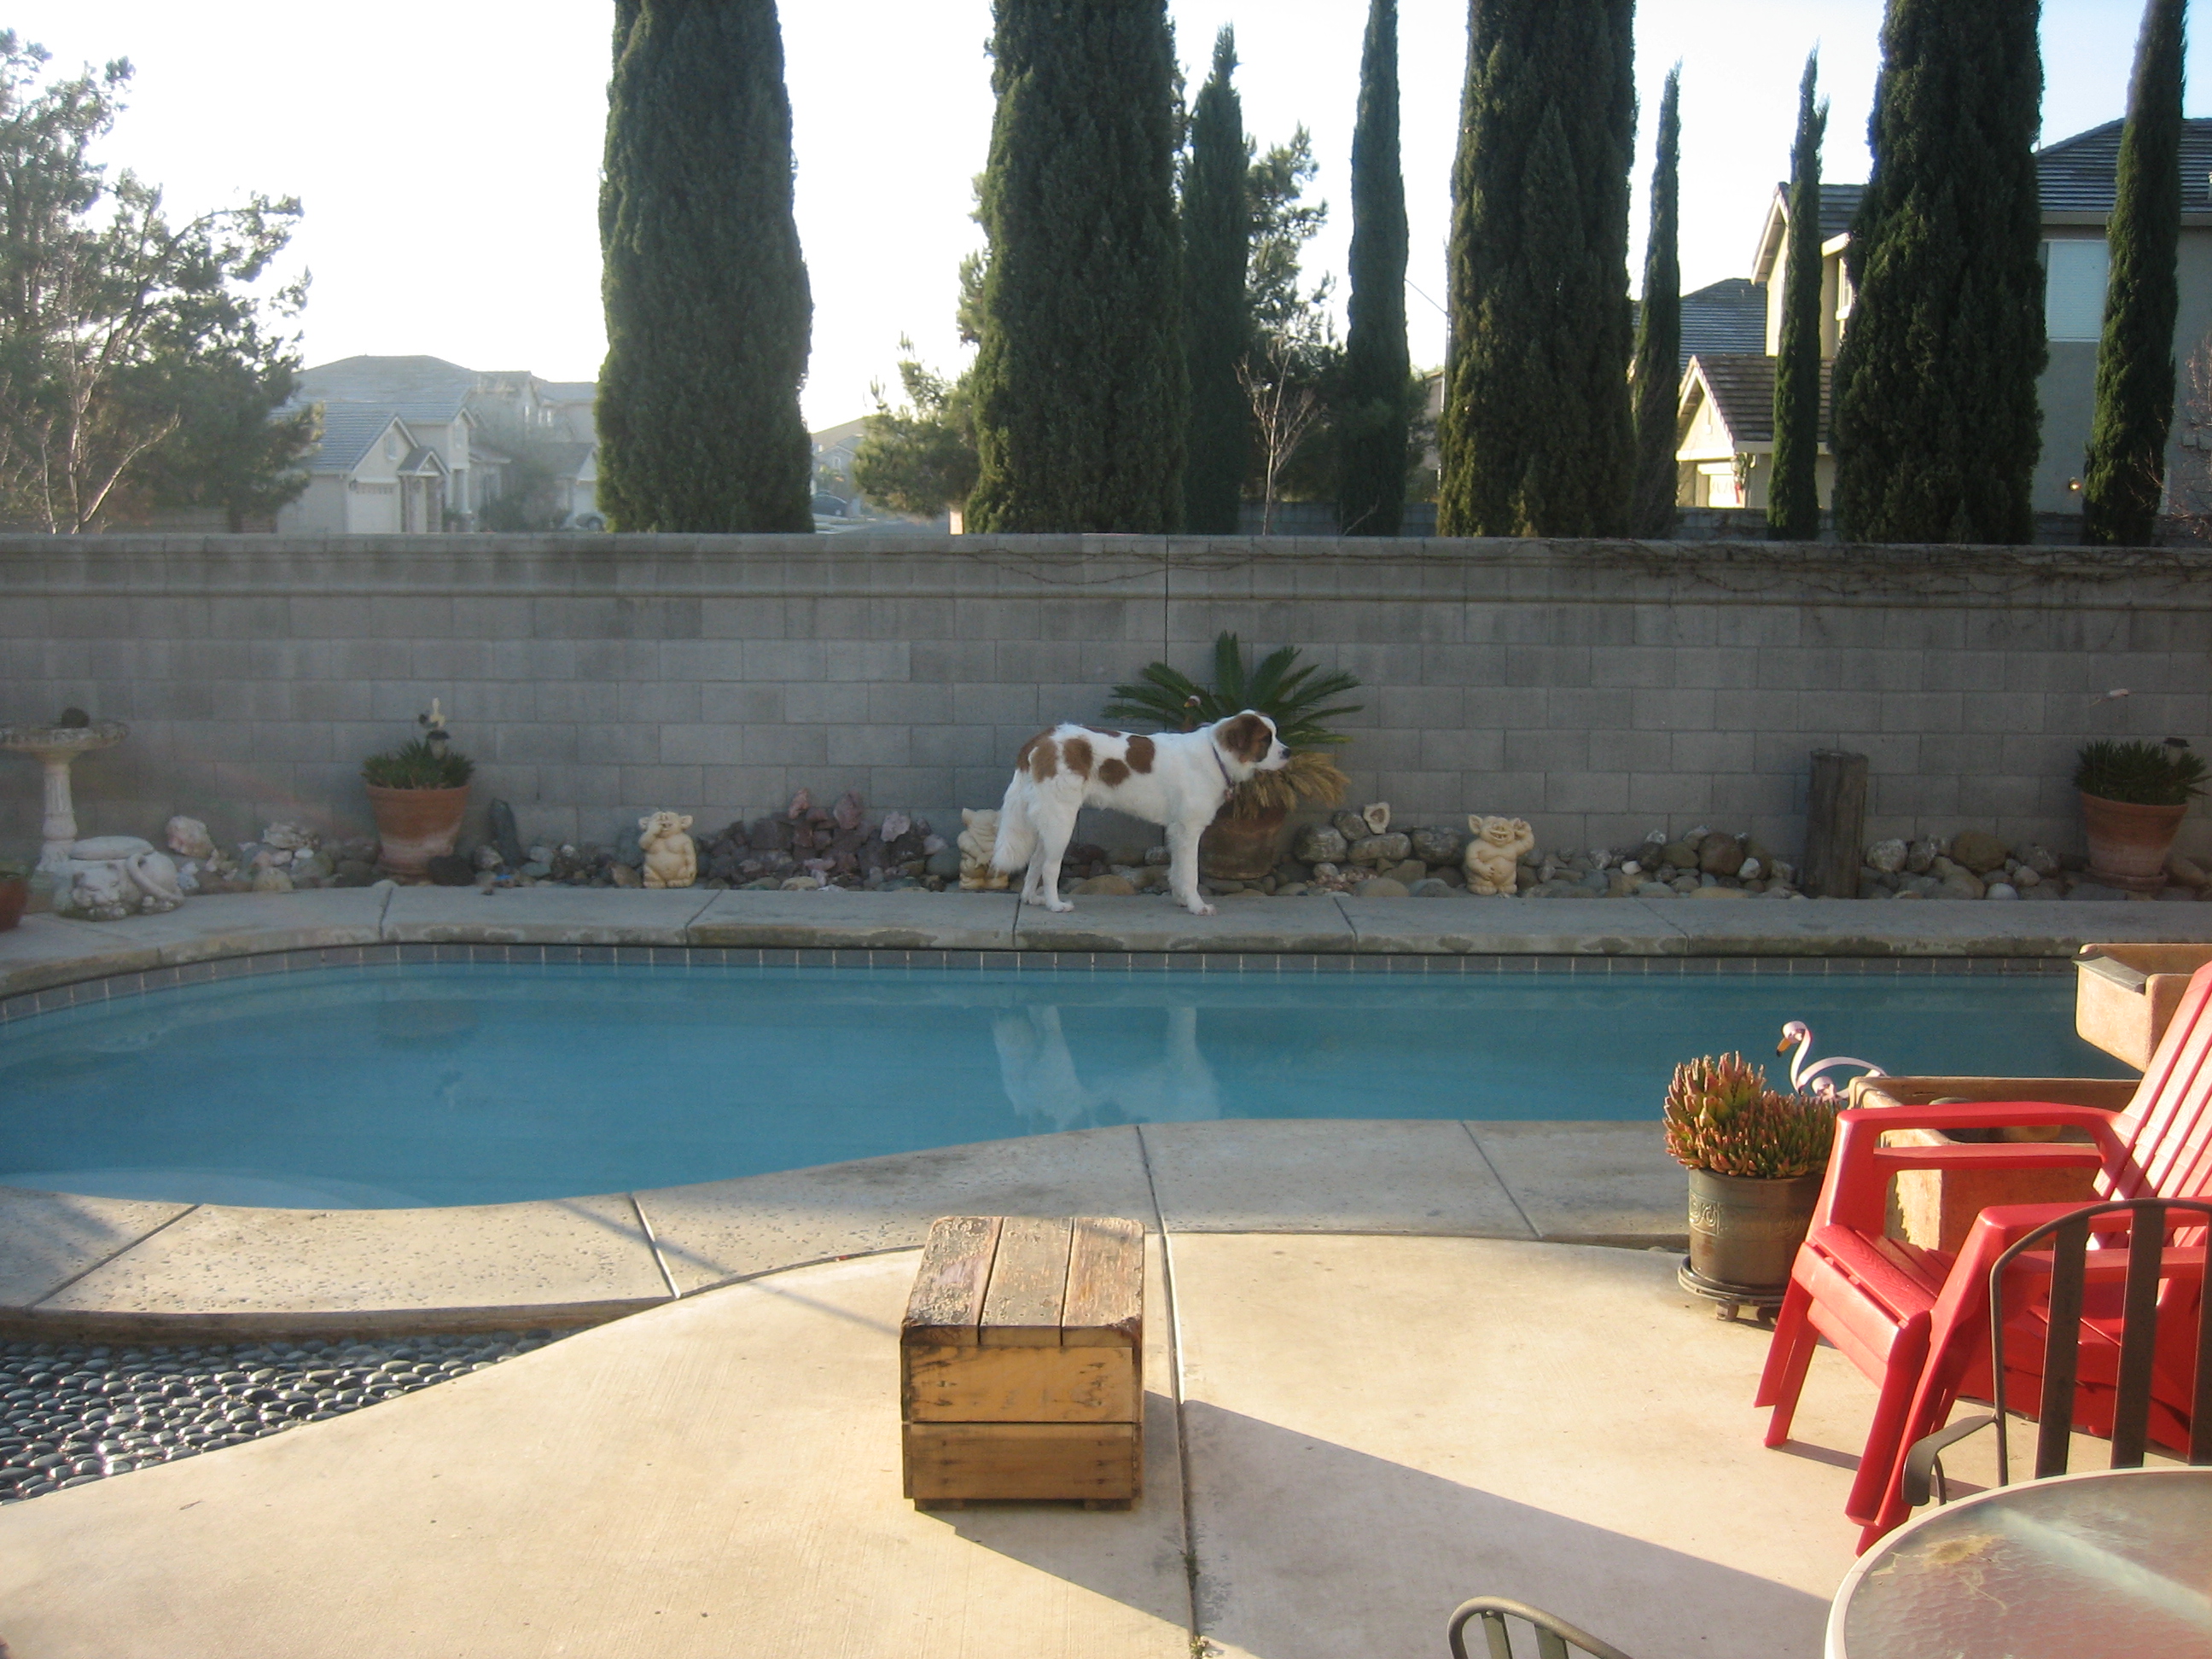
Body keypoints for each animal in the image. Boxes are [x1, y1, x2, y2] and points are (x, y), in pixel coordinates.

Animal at [990, 711, 1291, 916]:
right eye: (1266, 739)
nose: (1288, 752)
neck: (1216, 754)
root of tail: (1043, 737)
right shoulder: (1190, 829)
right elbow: (1191, 872)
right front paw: (1197, 905)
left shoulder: (1177, 830)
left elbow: (1177, 869)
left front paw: (1181, 900)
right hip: (1061, 818)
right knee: (1051, 867)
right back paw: (1055, 904)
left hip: (1050, 818)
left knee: (1036, 861)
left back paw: (1032, 898)